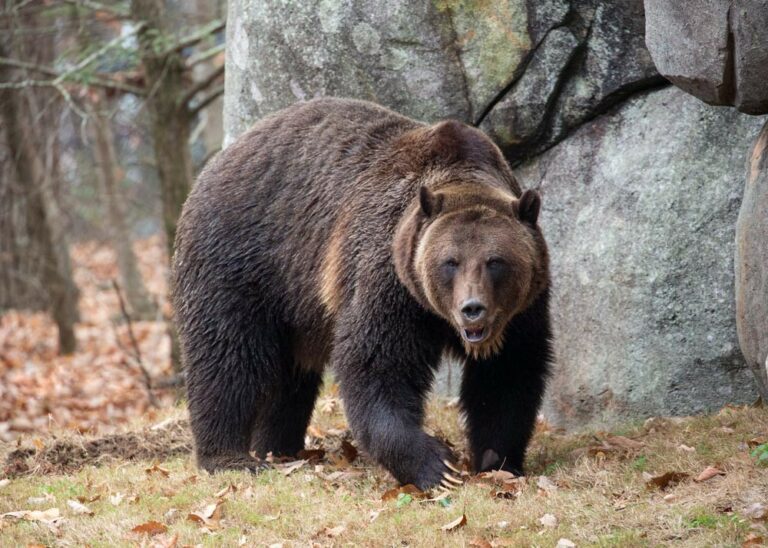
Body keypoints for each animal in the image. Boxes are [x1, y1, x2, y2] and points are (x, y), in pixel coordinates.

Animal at [171, 96, 548, 490]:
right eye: (451, 262)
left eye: (495, 261)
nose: (472, 309)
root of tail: (217, 161)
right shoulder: (388, 277)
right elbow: (376, 364)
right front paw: (436, 466)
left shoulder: (523, 311)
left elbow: (509, 374)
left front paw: (497, 461)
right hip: (243, 259)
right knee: (227, 356)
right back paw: (229, 457)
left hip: (296, 303)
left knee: (289, 376)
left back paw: (277, 447)